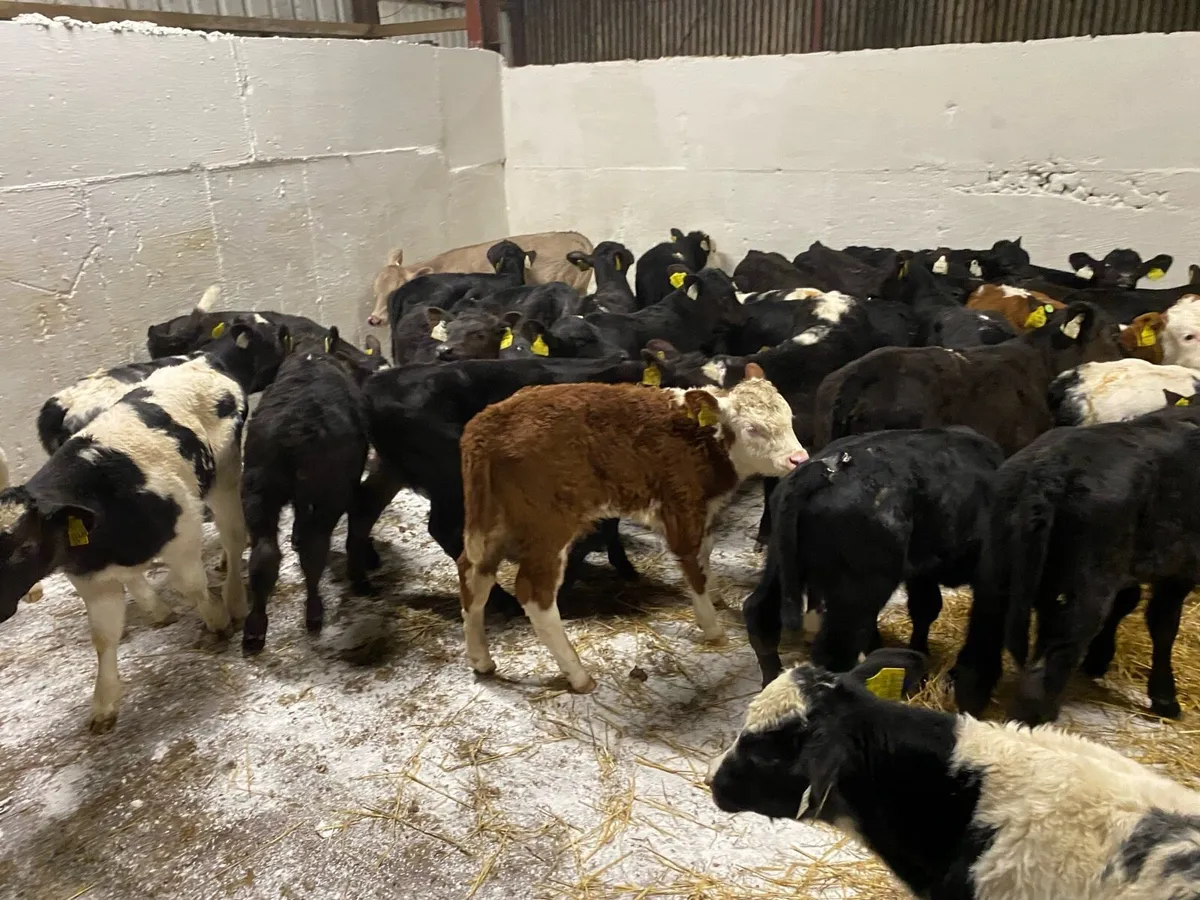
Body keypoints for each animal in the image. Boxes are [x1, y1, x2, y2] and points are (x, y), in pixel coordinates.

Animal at [0, 321, 289, 732]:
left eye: (22, 546)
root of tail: (204, 358)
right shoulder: (93, 580)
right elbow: (103, 637)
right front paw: (104, 702)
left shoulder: (183, 530)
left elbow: (191, 585)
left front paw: (217, 619)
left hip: (225, 473)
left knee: (233, 537)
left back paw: (233, 596)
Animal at [456, 367, 807, 692]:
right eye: (753, 428)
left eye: (789, 418)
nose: (798, 458)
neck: (702, 438)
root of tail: (487, 422)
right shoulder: (681, 507)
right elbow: (692, 565)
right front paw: (712, 627)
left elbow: (705, 555)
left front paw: (717, 595)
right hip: (548, 527)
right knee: (533, 594)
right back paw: (579, 676)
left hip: (495, 520)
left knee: (474, 573)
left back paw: (481, 659)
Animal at [743, 428, 1003, 685]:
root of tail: (826, 469)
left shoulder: (921, 573)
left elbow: (925, 609)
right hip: (860, 592)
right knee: (836, 652)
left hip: (779, 565)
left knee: (759, 614)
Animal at [953, 402, 1200, 725]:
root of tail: (1049, 474)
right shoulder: (1181, 566)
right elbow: (1163, 624)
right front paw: (1164, 698)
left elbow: (1128, 603)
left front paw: (1098, 659)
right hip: (1082, 588)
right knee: (1040, 677)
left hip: (996, 572)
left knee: (978, 657)